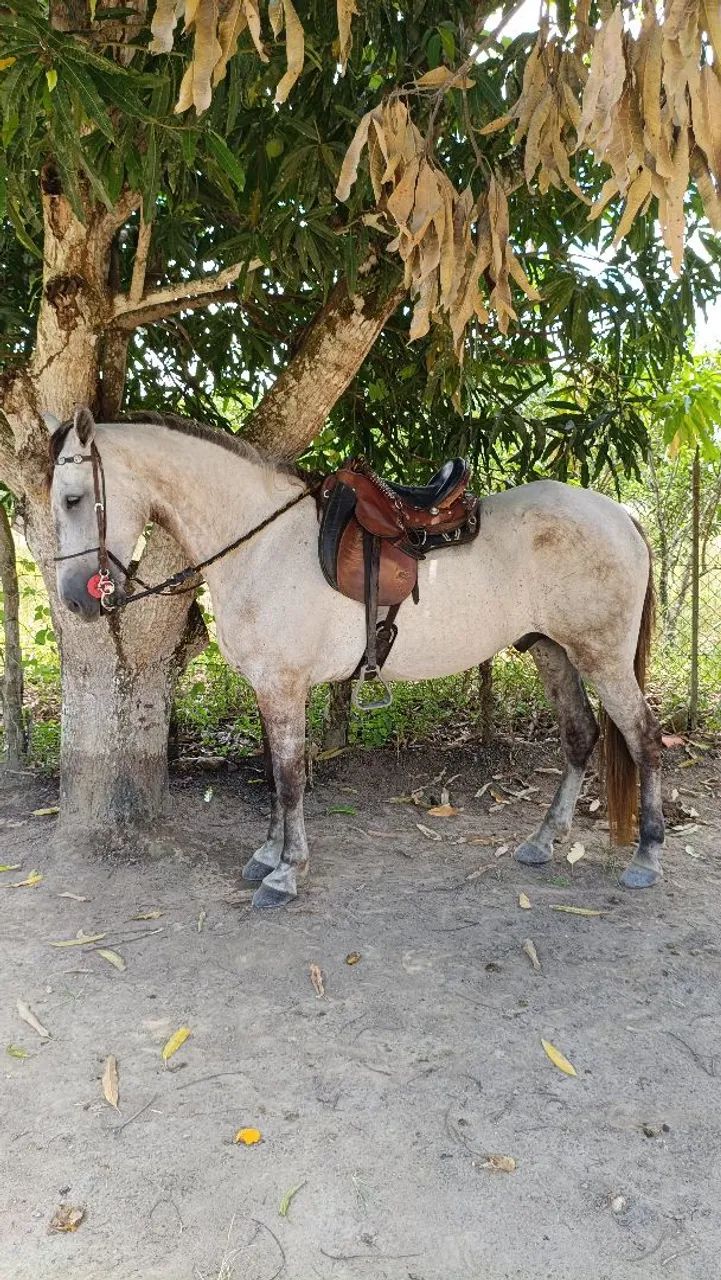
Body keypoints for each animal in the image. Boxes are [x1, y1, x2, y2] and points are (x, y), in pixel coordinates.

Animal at [48, 406, 664, 909]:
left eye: (72, 499)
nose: (76, 598)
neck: (262, 545)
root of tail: (621, 514)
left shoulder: (283, 684)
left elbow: (289, 776)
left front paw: (285, 873)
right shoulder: (268, 688)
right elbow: (275, 774)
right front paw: (268, 855)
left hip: (603, 657)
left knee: (644, 737)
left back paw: (647, 856)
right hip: (552, 650)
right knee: (580, 736)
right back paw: (542, 841)